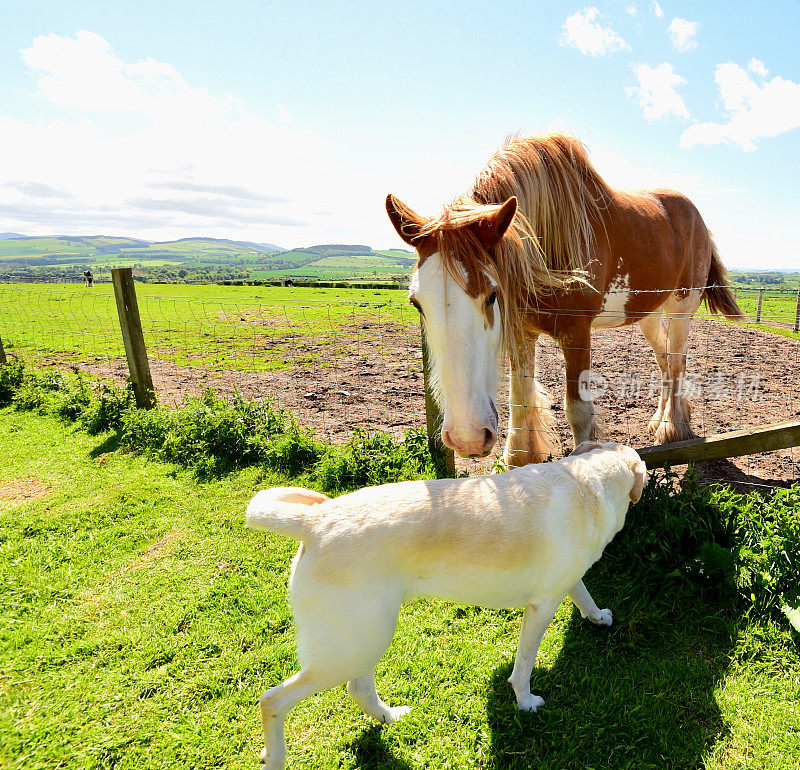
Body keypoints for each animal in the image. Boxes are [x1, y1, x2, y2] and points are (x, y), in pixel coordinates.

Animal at [247, 440, 648, 764]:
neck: (588, 482)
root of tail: (314, 519)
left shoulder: (564, 582)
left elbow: (583, 593)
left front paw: (598, 617)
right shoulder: (541, 607)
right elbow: (523, 667)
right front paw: (525, 702)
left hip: (362, 640)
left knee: (357, 689)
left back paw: (389, 717)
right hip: (352, 646)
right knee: (272, 700)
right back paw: (276, 757)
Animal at [388, 134, 744, 464]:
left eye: (492, 296)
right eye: (417, 303)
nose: (467, 436)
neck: (547, 243)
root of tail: (694, 213)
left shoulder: (576, 333)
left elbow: (577, 410)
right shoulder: (522, 333)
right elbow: (521, 400)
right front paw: (519, 459)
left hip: (682, 306)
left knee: (678, 360)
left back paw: (674, 429)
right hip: (647, 313)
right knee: (665, 359)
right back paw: (660, 422)